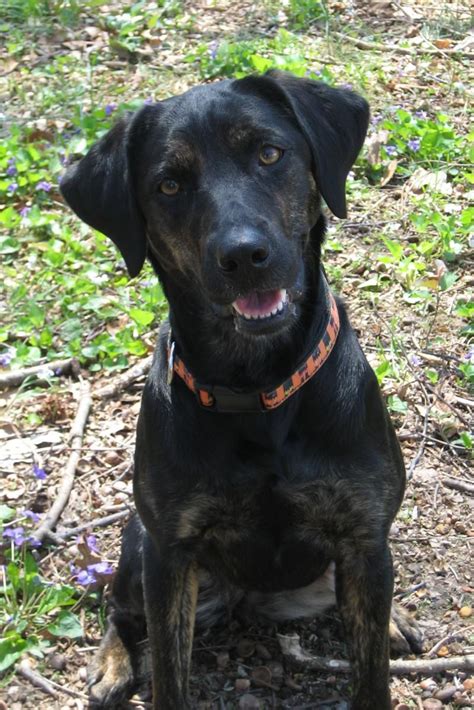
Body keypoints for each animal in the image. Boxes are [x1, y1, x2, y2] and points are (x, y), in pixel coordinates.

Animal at [60, 68, 422, 710]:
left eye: (269, 153)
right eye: (169, 184)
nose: (244, 255)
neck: (259, 386)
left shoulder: (362, 537)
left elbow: (371, 672)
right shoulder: (170, 556)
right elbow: (168, 675)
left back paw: (397, 617)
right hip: (140, 549)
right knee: (121, 610)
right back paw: (112, 661)